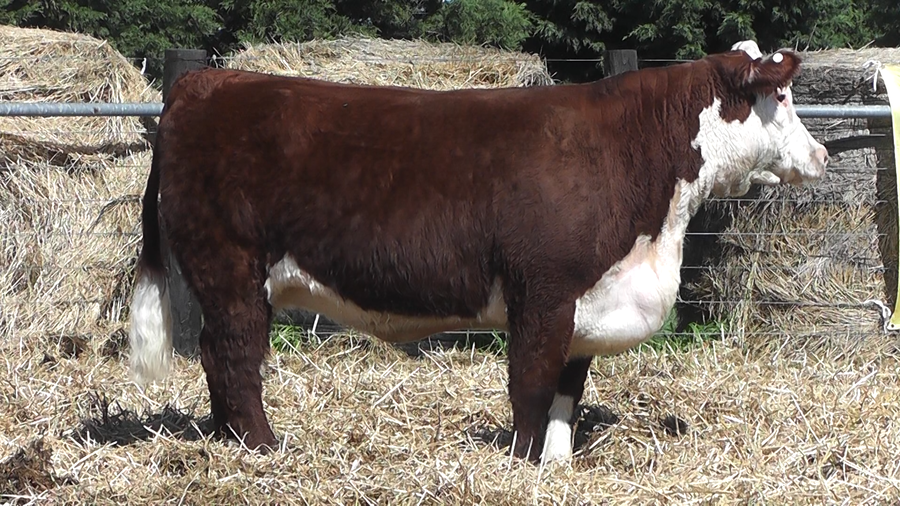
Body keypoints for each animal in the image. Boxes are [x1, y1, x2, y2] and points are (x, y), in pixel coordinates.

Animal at [127, 40, 827, 463]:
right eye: (782, 97)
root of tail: (203, 82)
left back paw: (229, 441)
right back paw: (264, 448)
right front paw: (522, 461)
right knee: (233, 357)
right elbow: (532, 384)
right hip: (229, 266)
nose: (821, 155)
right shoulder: (544, 292)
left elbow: (569, 389)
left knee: (219, 356)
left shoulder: (591, 296)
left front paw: (558, 462)